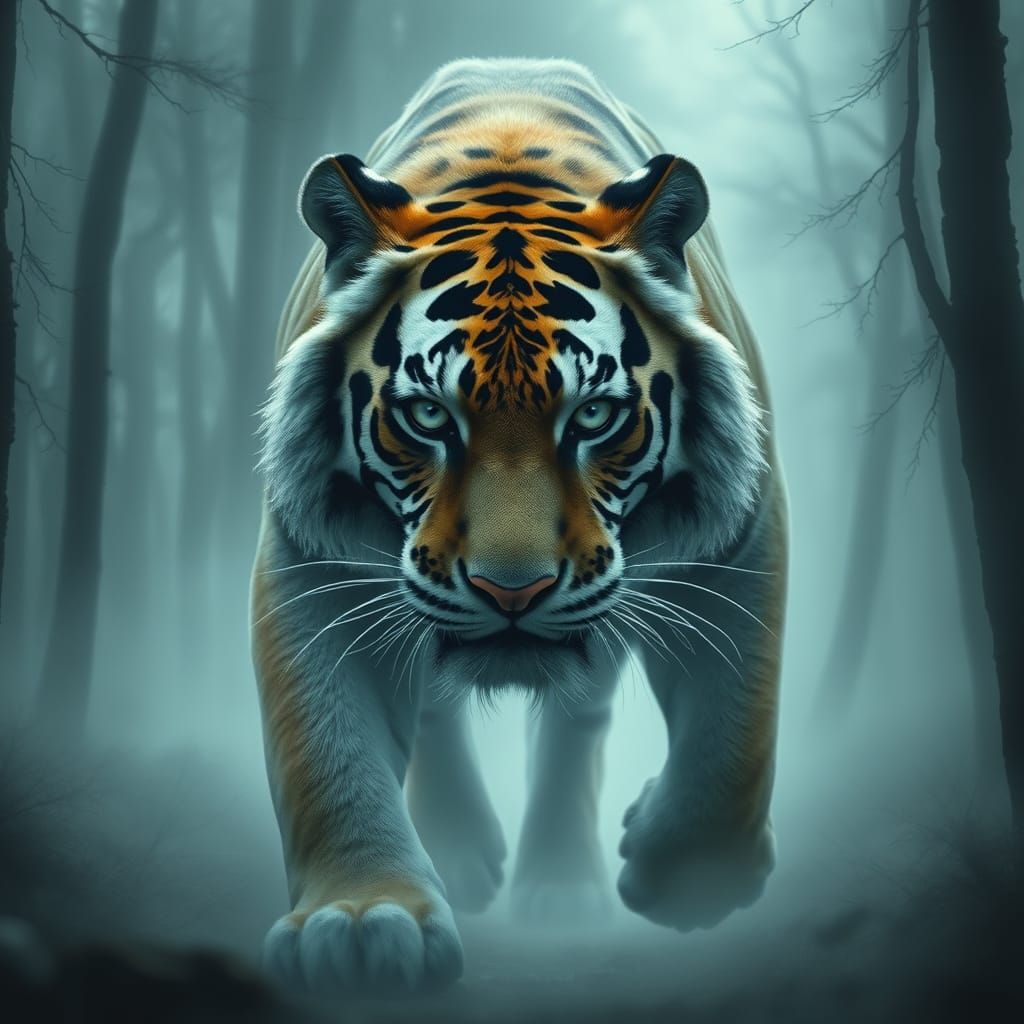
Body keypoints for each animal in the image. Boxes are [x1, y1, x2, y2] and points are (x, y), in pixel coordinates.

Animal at [253, 58, 787, 994]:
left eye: (595, 415)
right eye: (429, 415)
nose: (514, 591)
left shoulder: (739, 541)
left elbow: (732, 740)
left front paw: (682, 876)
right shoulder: (309, 566)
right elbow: (324, 748)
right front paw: (361, 921)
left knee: (578, 724)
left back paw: (560, 889)